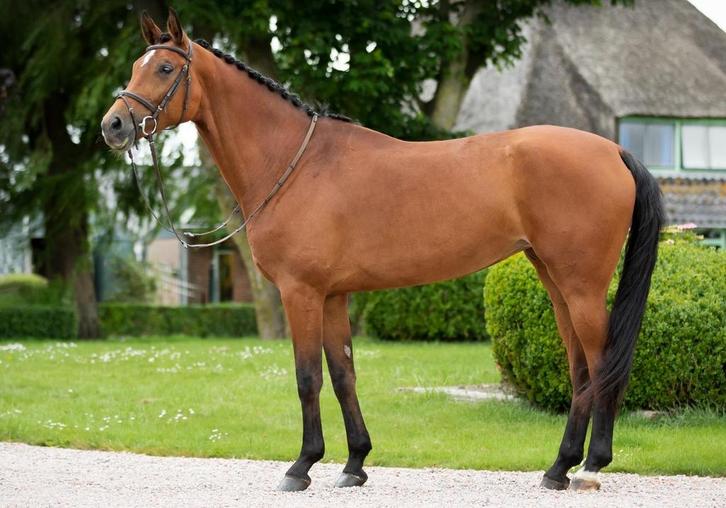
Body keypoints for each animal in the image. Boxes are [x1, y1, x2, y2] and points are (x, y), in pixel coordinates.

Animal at [101, 9, 664, 493]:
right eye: (134, 67)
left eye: (166, 67)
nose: (114, 125)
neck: (295, 164)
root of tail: (613, 149)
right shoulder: (332, 296)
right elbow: (343, 374)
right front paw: (353, 463)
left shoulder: (301, 293)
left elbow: (307, 377)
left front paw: (301, 466)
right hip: (553, 278)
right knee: (579, 367)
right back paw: (559, 467)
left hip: (581, 284)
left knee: (602, 360)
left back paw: (591, 466)